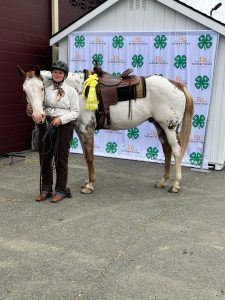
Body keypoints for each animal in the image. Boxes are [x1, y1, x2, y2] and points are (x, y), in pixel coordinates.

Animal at [18, 65, 193, 195]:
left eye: (41, 88)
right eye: (25, 91)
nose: (38, 116)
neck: (76, 90)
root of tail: (176, 85)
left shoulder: (86, 128)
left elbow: (89, 157)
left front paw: (90, 185)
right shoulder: (80, 131)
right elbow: (86, 156)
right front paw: (88, 182)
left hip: (170, 127)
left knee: (177, 151)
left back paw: (175, 185)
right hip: (160, 126)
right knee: (167, 151)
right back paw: (162, 181)